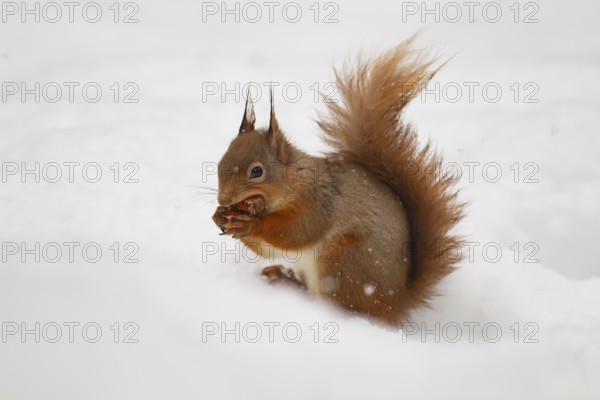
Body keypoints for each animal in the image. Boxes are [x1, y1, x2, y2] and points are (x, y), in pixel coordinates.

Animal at [212, 36, 464, 324]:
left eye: (256, 171)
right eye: (220, 163)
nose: (224, 199)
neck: (294, 180)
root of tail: (395, 304)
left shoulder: (317, 201)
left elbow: (297, 232)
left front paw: (251, 224)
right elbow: (271, 250)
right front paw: (219, 216)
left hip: (343, 260)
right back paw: (286, 280)